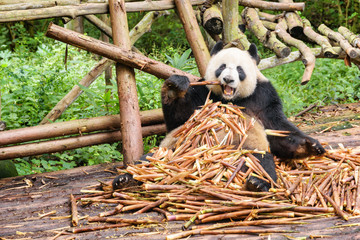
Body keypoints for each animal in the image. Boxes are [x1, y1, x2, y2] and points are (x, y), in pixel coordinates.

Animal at [162, 41, 324, 161]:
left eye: (239, 70)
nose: (228, 79)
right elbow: (180, 122)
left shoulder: (263, 97)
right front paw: (174, 88)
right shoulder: (204, 92)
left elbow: (276, 128)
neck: (233, 99)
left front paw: (309, 145)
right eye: (222, 67)